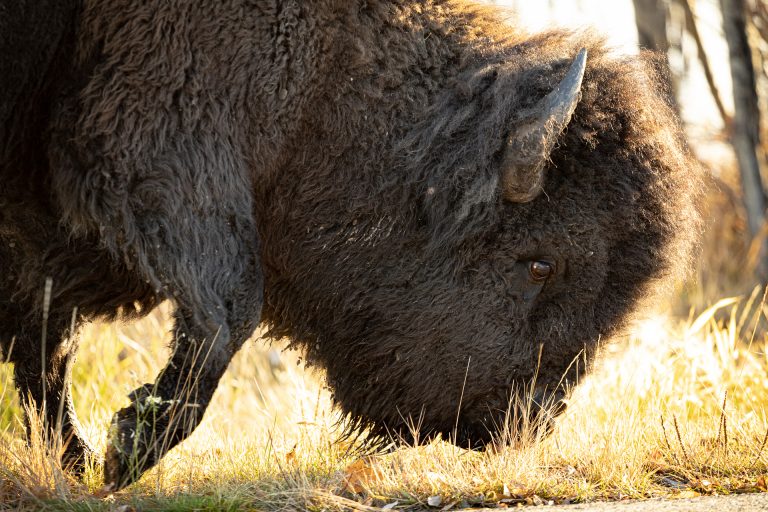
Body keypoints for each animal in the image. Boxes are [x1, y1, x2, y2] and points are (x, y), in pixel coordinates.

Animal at [0, 0, 700, 490]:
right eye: (540, 263)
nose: (522, 423)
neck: (338, 72)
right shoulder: (161, 140)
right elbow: (228, 307)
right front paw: (124, 450)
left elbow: (47, 338)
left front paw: (83, 461)